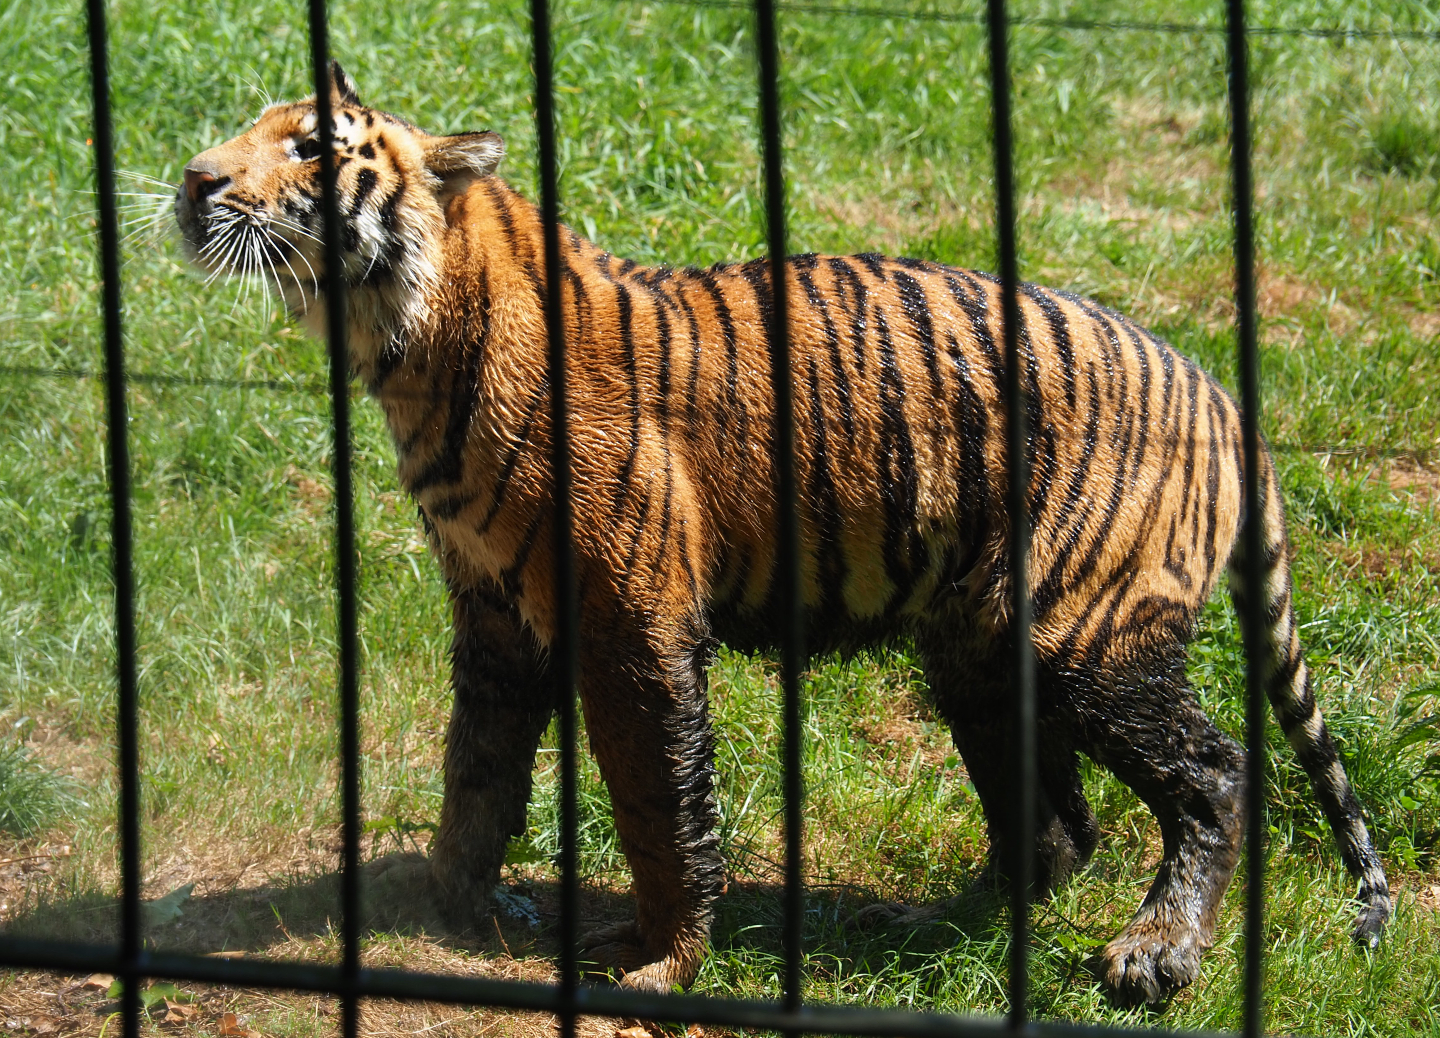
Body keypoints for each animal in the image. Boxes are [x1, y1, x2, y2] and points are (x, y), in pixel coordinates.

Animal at [173, 63, 1391, 1006]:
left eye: (312, 148)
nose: (192, 181)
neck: (405, 349)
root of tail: (1223, 393)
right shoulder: (494, 614)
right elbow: (476, 769)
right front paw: (464, 906)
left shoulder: (631, 618)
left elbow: (658, 798)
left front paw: (660, 962)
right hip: (980, 645)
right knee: (1055, 822)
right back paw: (937, 926)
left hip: (1084, 630)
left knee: (1216, 771)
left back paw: (1154, 953)